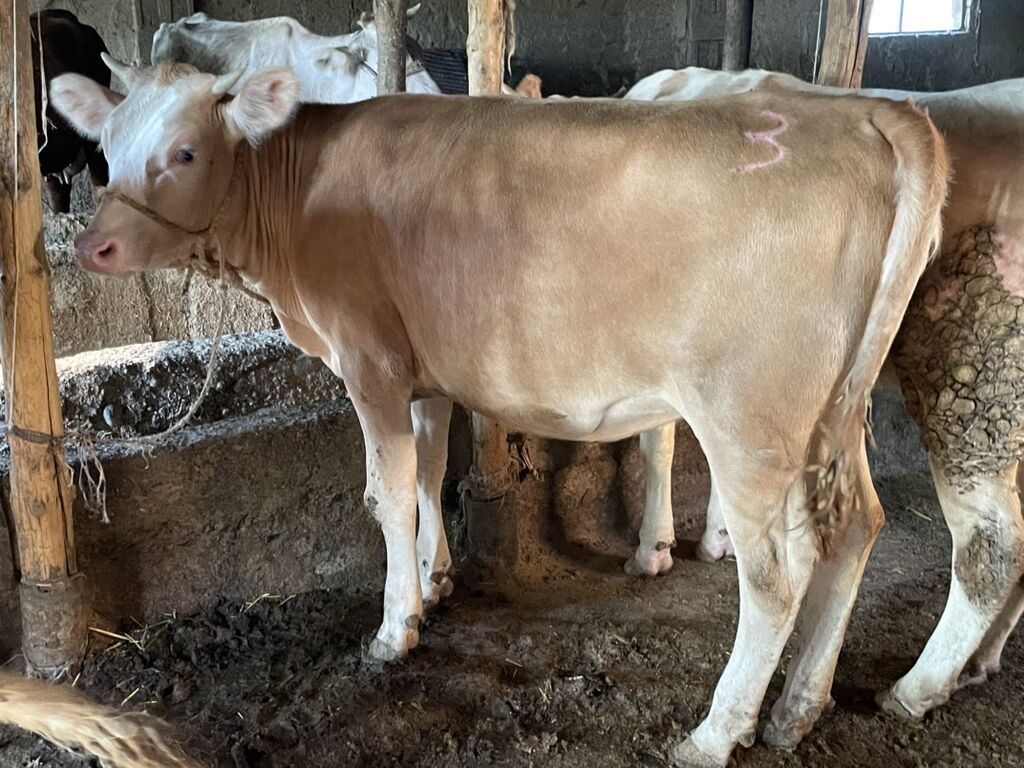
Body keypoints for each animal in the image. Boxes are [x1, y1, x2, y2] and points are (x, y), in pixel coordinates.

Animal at [49, 58, 947, 766]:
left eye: (185, 150)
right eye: (106, 149)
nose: (94, 245)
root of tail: (871, 111)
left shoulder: (370, 364)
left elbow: (385, 496)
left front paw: (394, 628)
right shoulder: (427, 372)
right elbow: (427, 478)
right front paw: (437, 580)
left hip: (749, 420)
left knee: (774, 576)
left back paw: (717, 732)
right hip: (834, 414)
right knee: (857, 529)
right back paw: (799, 708)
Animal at [625, 66, 1024, 724]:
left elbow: (657, 444)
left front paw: (653, 548)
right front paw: (717, 538)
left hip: (977, 378)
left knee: (993, 549)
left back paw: (915, 688)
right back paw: (978, 664)